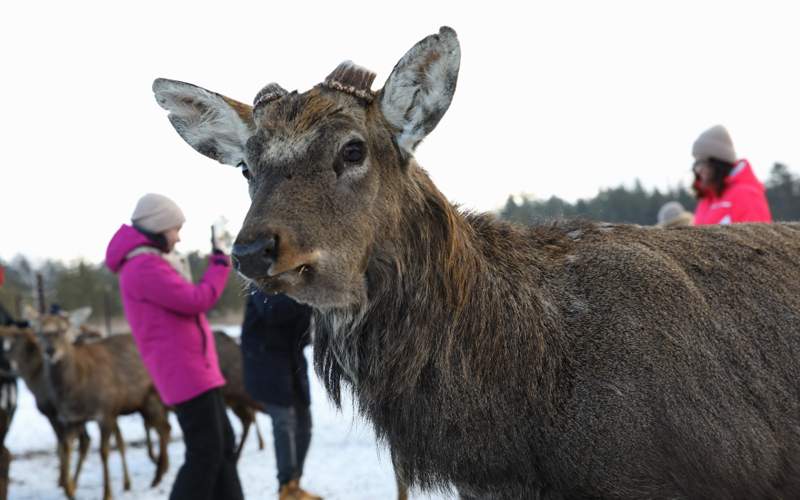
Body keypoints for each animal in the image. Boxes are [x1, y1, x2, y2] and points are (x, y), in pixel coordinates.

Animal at [31, 308, 172, 500]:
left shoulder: (106, 411)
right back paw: (159, 472)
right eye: (39, 332)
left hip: (154, 398)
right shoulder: (72, 419)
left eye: (63, 329)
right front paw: (69, 488)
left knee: (164, 428)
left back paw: (158, 474)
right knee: (164, 428)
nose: (50, 350)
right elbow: (66, 447)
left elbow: (104, 452)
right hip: (144, 403)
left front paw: (107, 493)